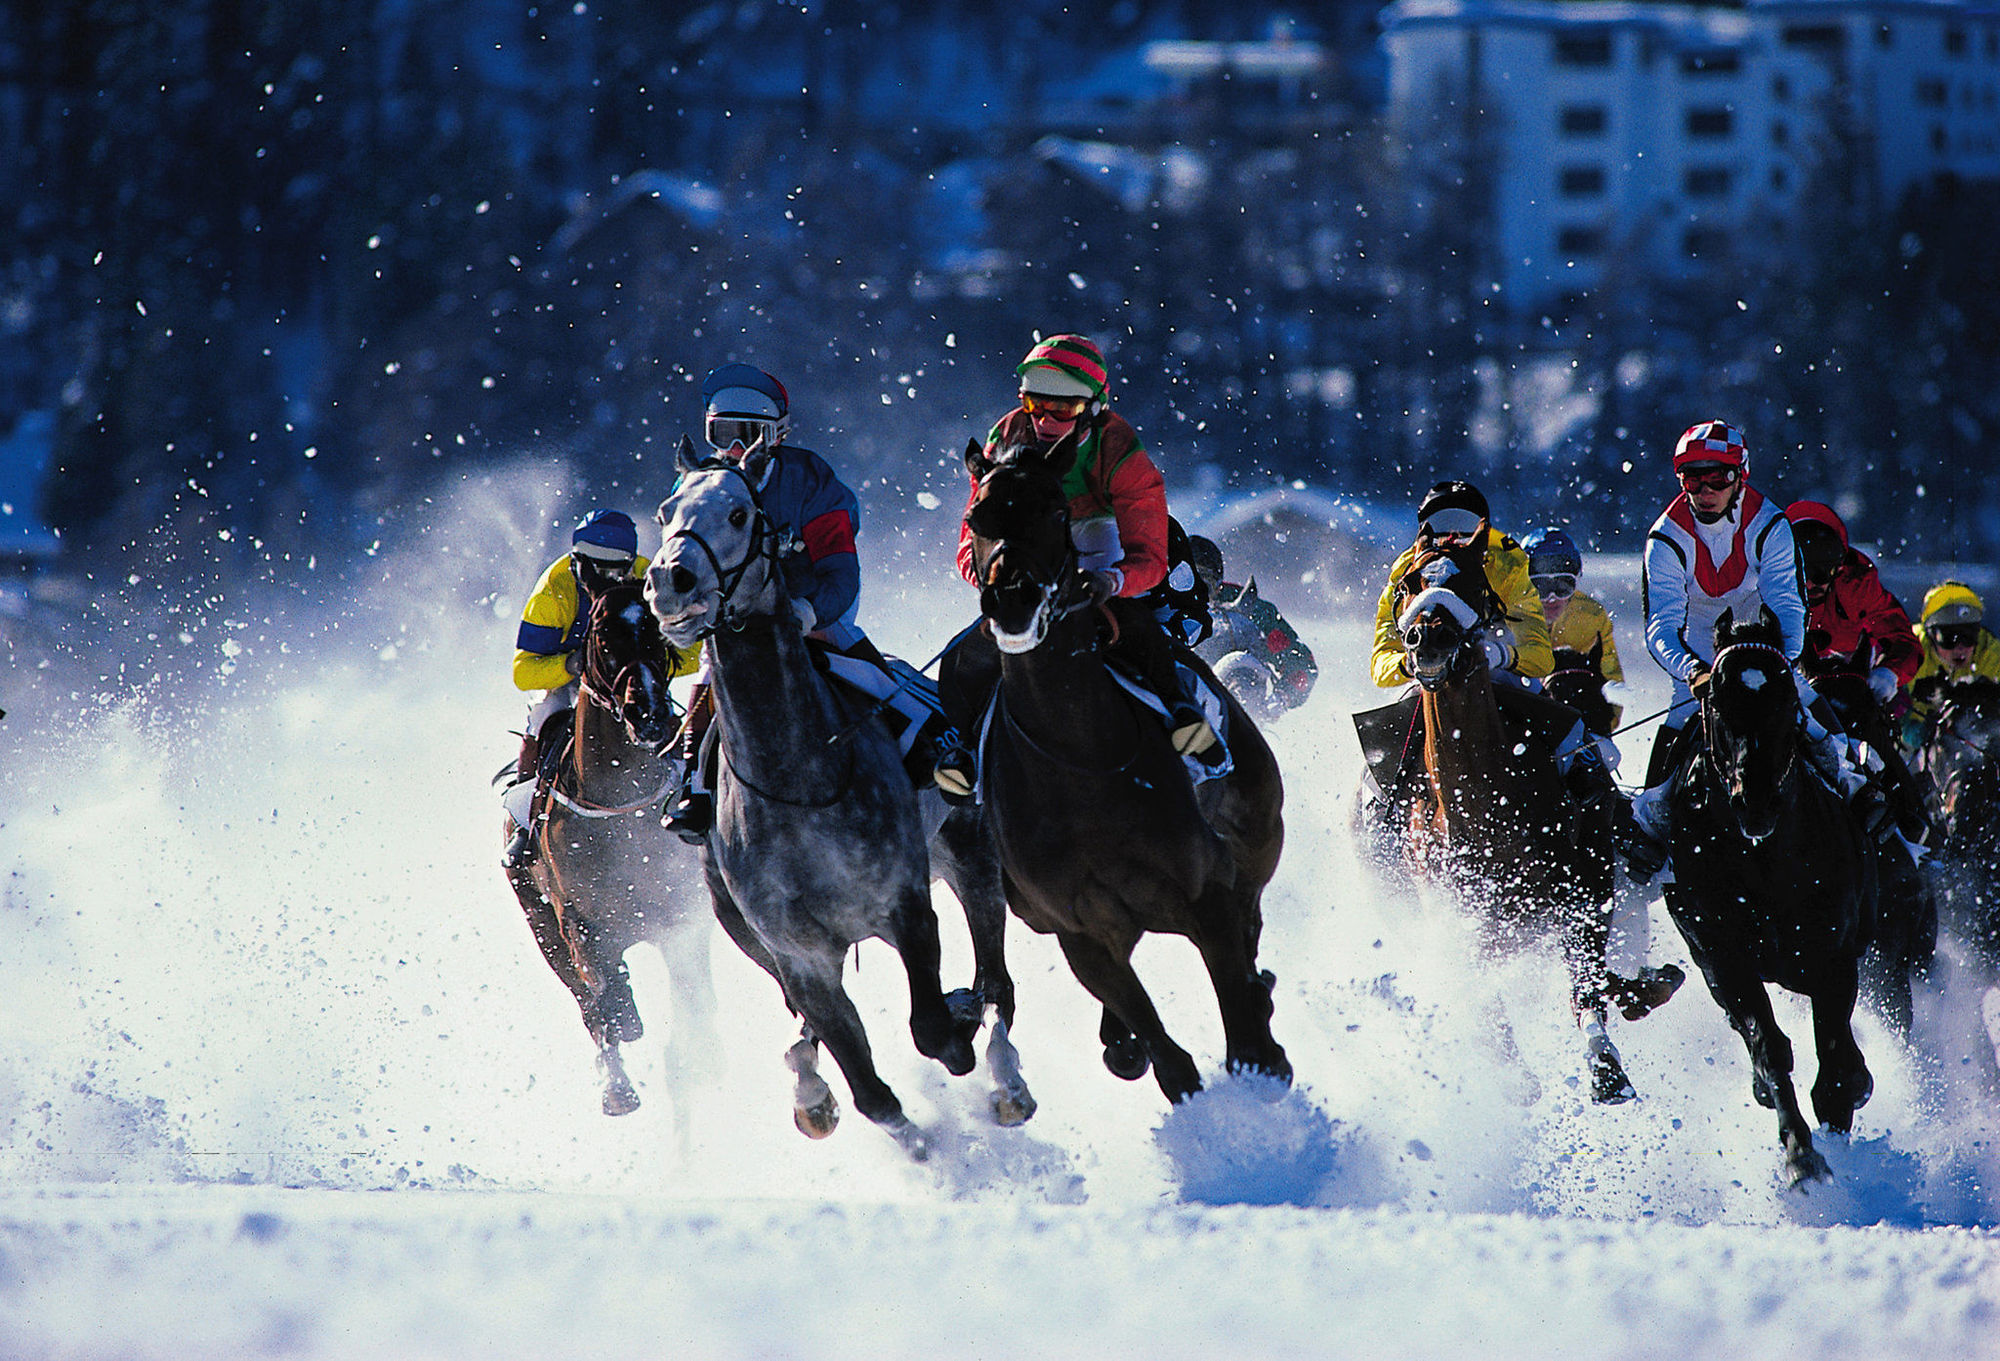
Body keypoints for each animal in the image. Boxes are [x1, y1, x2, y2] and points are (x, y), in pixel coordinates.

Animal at [500, 572, 720, 1112]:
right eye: (601, 633)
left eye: (658, 630)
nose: (649, 715)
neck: (623, 802)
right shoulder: (574, 918)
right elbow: (603, 993)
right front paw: (623, 1018)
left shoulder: (683, 916)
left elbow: (692, 993)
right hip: (539, 923)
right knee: (585, 1003)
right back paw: (617, 1086)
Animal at [644, 436, 1024, 1160]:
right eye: (665, 511)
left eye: (739, 513)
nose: (668, 579)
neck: (796, 783)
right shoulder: (801, 956)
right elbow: (869, 1087)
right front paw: (908, 1140)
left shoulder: (906, 904)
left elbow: (934, 1026)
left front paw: (959, 1024)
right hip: (743, 930)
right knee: (811, 1031)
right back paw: (810, 1077)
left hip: (970, 854)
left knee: (998, 980)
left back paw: (1005, 1071)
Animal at [1384, 536, 1632, 1096]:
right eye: (1409, 583)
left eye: (1473, 582)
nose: (1427, 637)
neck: (1482, 804)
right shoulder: (1455, 913)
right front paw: (1514, 1075)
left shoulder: (1579, 886)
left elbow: (1586, 978)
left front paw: (1605, 1064)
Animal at [1656, 612, 1872, 1184]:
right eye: (1717, 700)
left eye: (1786, 699)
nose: (1754, 801)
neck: (1766, 861)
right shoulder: (1722, 955)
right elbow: (1768, 1047)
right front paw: (1801, 1155)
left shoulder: (1834, 954)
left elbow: (1836, 1066)